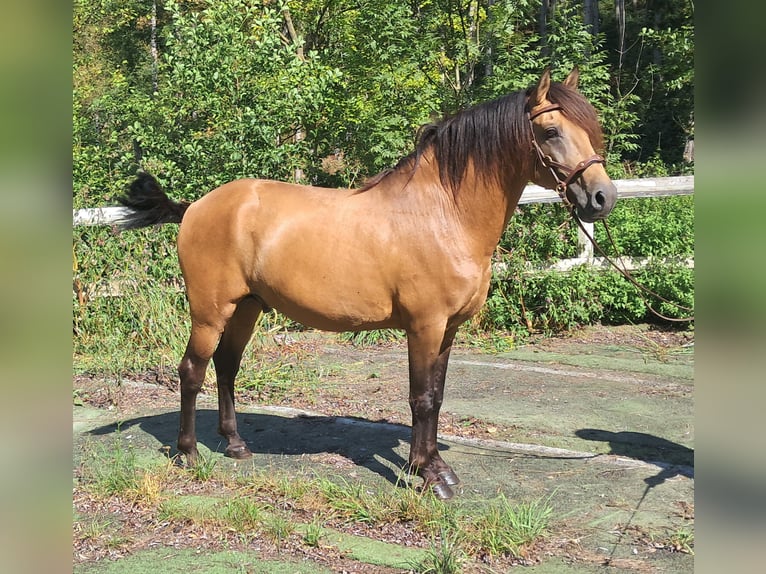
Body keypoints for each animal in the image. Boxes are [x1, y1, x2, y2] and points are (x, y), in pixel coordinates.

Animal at [115, 66, 616, 500]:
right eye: (550, 132)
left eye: (590, 129)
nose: (602, 197)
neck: (442, 214)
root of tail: (196, 206)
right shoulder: (424, 326)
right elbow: (422, 398)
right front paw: (427, 475)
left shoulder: (448, 330)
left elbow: (437, 396)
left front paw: (436, 468)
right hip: (210, 310)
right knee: (192, 370)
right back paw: (188, 454)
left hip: (247, 307)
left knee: (226, 367)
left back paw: (235, 445)